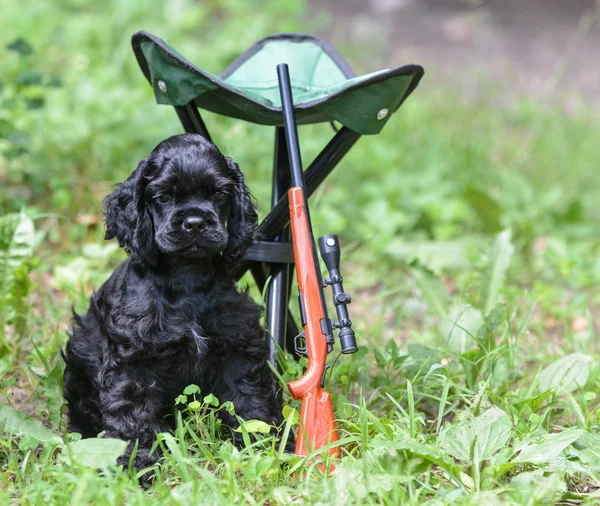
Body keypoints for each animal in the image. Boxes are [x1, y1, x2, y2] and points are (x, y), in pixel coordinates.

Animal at [64, 132, 290, 476]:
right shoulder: (133, 360)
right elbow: (132, 413)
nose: (195, 222)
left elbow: (251, 400)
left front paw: (267, 449)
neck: (186, 277)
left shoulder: (238, 347)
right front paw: (137, 464)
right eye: (163, 197)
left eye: (219, 194)